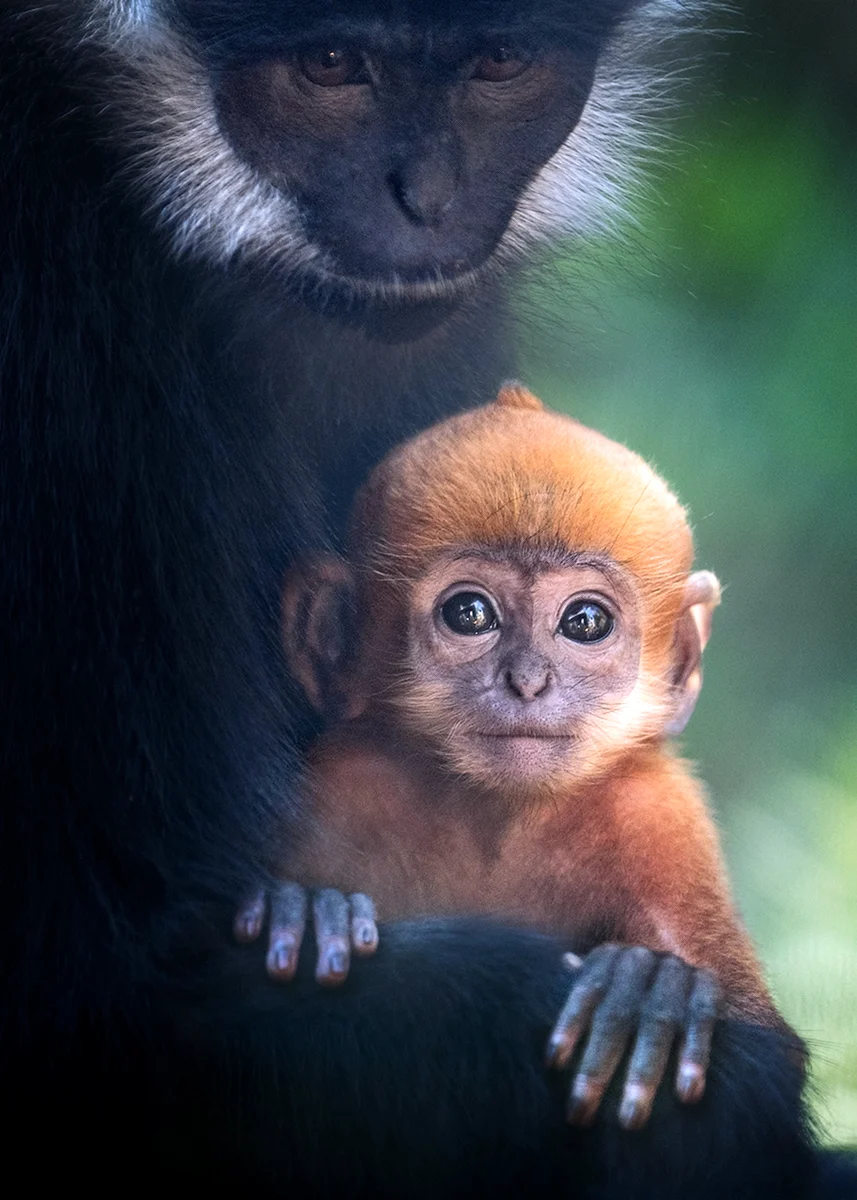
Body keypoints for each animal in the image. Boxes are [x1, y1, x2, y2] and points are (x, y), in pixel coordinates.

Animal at [272, 383, 795, 1135]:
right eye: (469, 613)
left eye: (585, 622)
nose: (526, 681)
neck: (493, 821)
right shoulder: (335, 787)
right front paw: (314, 913)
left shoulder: (658, 820)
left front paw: (647, 989)